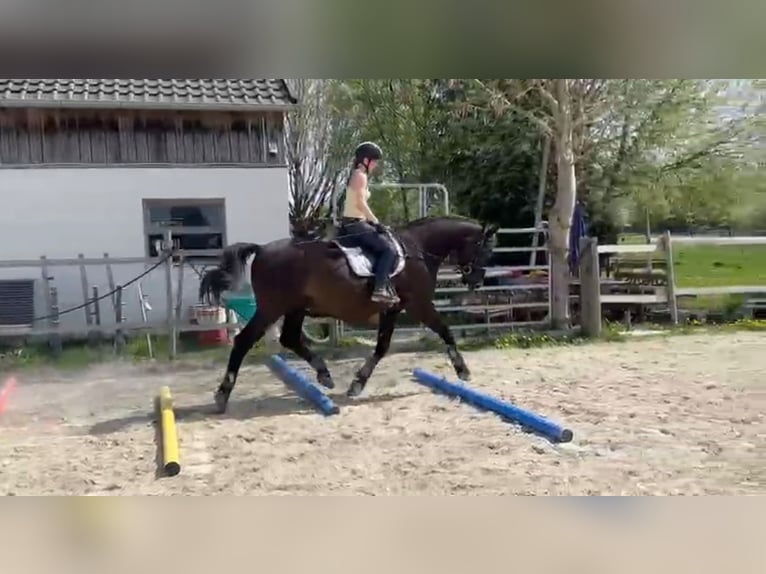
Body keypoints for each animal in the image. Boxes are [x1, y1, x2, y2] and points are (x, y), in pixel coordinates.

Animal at [198, 215, 500, 414]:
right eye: (486, 249)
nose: (476, 281)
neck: (418, 249)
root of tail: (261, 249)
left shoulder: (392, 309)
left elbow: (382, 347)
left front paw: (357, 383)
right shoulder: (419, 304)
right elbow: (444, 331)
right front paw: (463, 370)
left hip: (295, 307)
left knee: (290, 338)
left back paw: (324, 374)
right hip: (272, 307)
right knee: (244, 341)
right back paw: (222, 395)